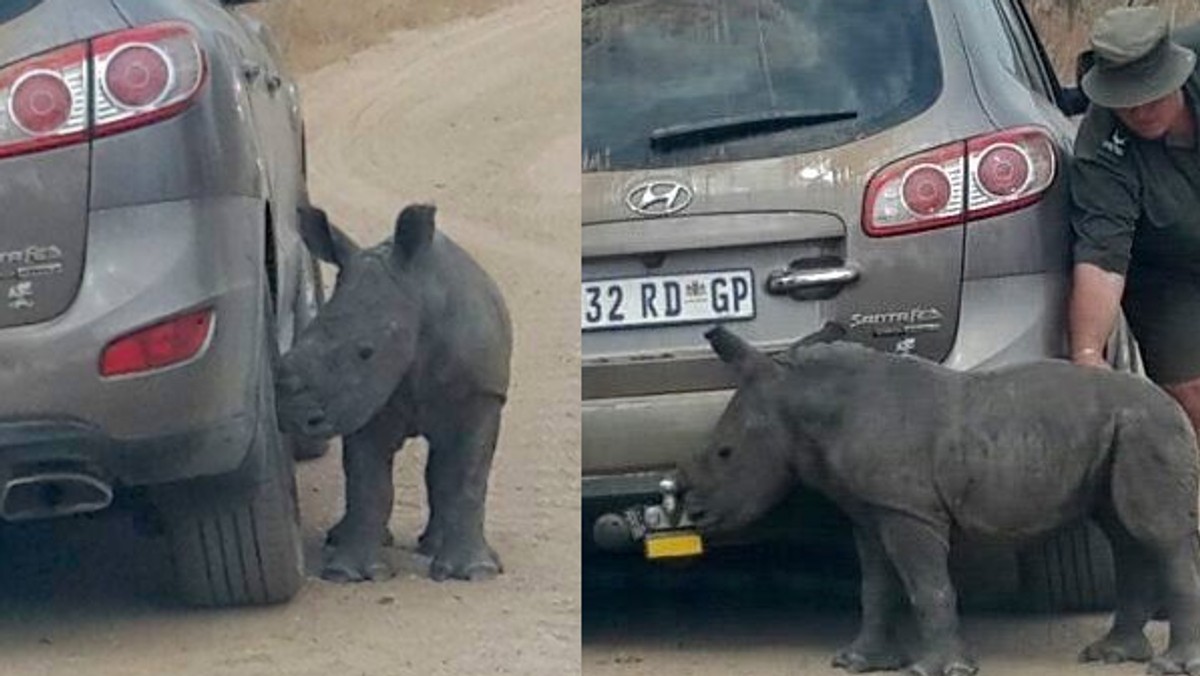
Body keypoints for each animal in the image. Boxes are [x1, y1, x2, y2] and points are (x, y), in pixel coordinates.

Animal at [276, 204, 511, 583]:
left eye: (366, 352)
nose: (293, 415)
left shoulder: (481, 395)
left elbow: (467, 477)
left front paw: (476, 573)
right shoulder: (365, 398)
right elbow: (368, 482)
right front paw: (348, 573)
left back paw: (432, 547)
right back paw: (343, 540)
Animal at [681, 324, 1195, 676]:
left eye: (724, 453)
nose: (694, 510)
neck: (805, 402)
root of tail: (1170, 402)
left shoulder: (909, 511)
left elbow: (927, 585)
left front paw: (936, 669)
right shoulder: (875, 508)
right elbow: (877, 587)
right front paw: (858, 661)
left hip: (1149, 427)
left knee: (1156, 533)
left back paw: (1169, 666)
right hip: (1119, 431)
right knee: (1123, 532)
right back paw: (1111, 654)